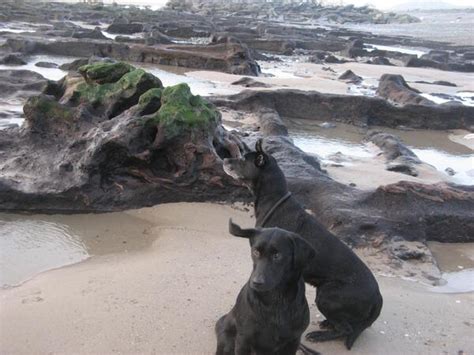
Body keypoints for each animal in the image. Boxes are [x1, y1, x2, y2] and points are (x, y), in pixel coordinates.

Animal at [215, 221, 318, 354]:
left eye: (277, 255)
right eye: (256, 252)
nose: (256, 282)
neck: (276, 300)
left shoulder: (293, 341)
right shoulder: (243, 340)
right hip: (228, 342)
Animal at [224, 139, 384, 350]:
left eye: (243, 159)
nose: (224, 159)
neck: (274, 200)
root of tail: (378, 296)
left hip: (327, 295)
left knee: (346, 328)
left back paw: (320, 335)